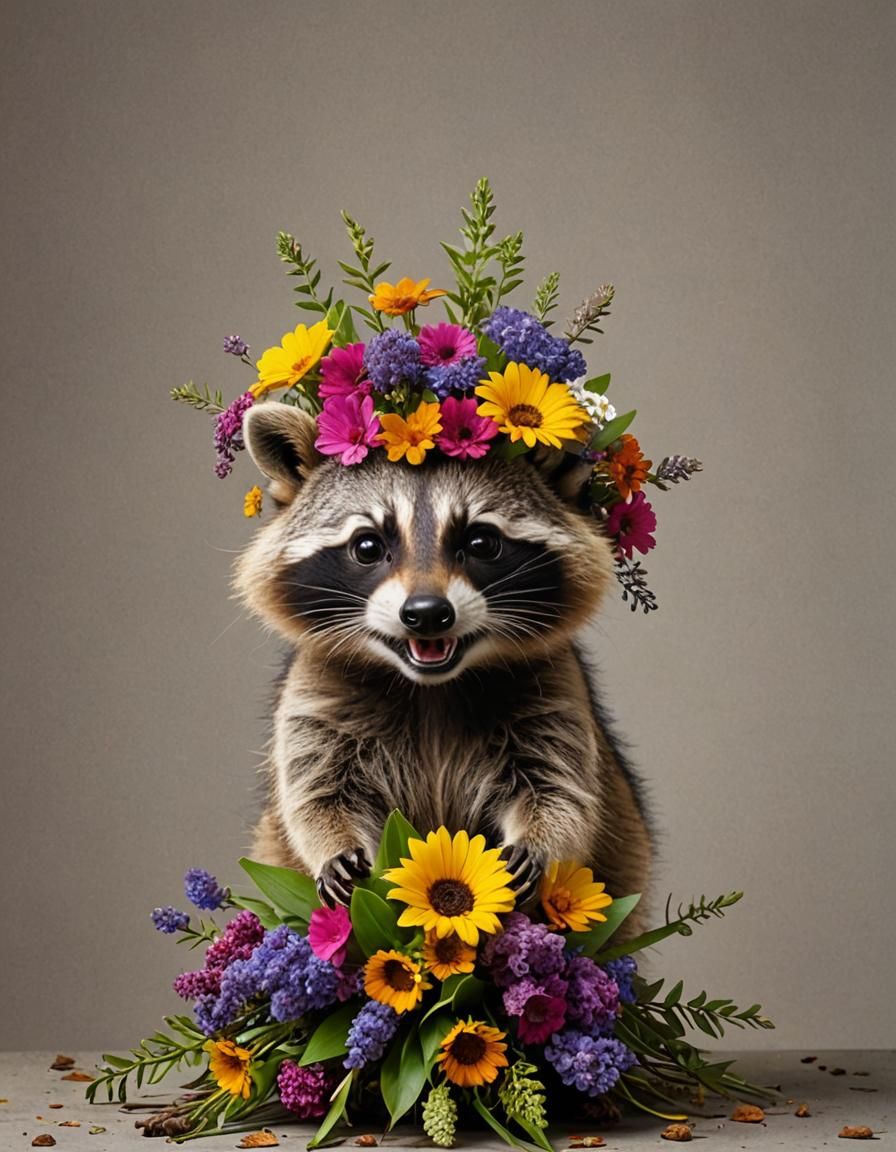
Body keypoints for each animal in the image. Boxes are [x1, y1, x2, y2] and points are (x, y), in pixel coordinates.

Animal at [236, 402, 652, 928]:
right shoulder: (313, 695)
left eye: (481, 543)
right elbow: (315, 797)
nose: (428, 613)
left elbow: (562, 790)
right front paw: (332, 845)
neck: (431, 689)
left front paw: (540, 841)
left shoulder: (557, 691)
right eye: (367, 546)